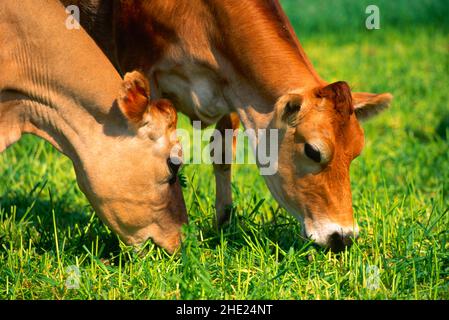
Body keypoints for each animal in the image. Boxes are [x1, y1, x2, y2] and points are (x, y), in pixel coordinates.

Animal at [62, 0, 392, 251]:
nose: (343, 237)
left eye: (356, 153)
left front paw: (223, 225)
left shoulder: (233, 89)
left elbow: (222, 155)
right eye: (313, 151)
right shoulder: (142, 68)